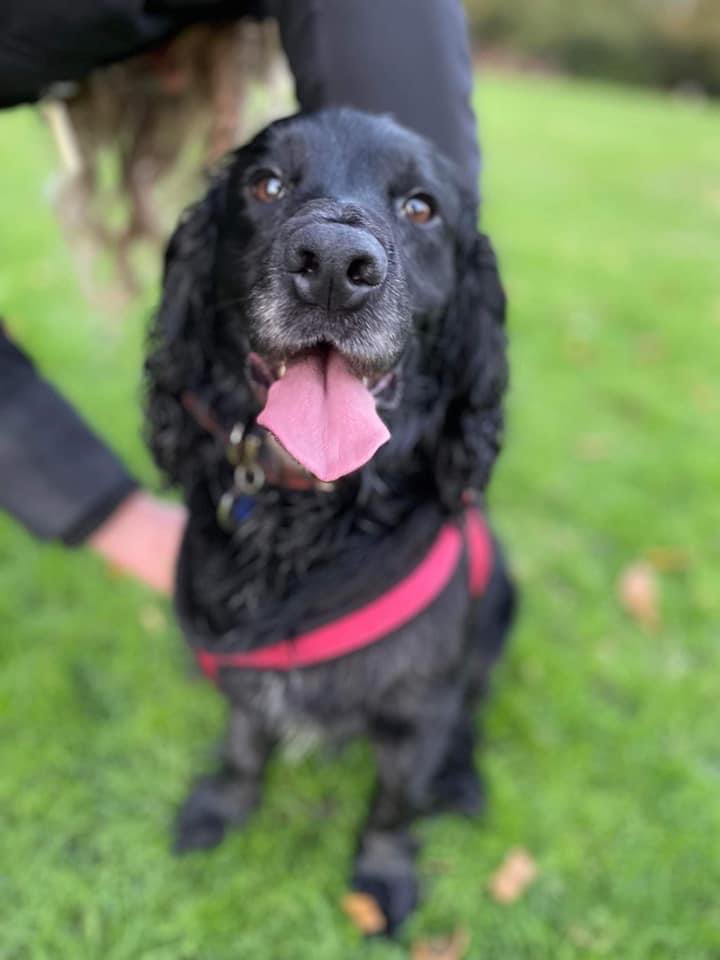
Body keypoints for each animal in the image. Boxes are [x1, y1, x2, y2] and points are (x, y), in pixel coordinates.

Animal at [146, 109, 516, 932]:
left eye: (421, 207)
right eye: (266, 185)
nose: (334, 266)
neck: (310, 511)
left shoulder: (419, 708)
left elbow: (393, 806)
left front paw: (381, 880)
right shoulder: (244, 670)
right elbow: (244, 744)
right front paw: (222, 807)